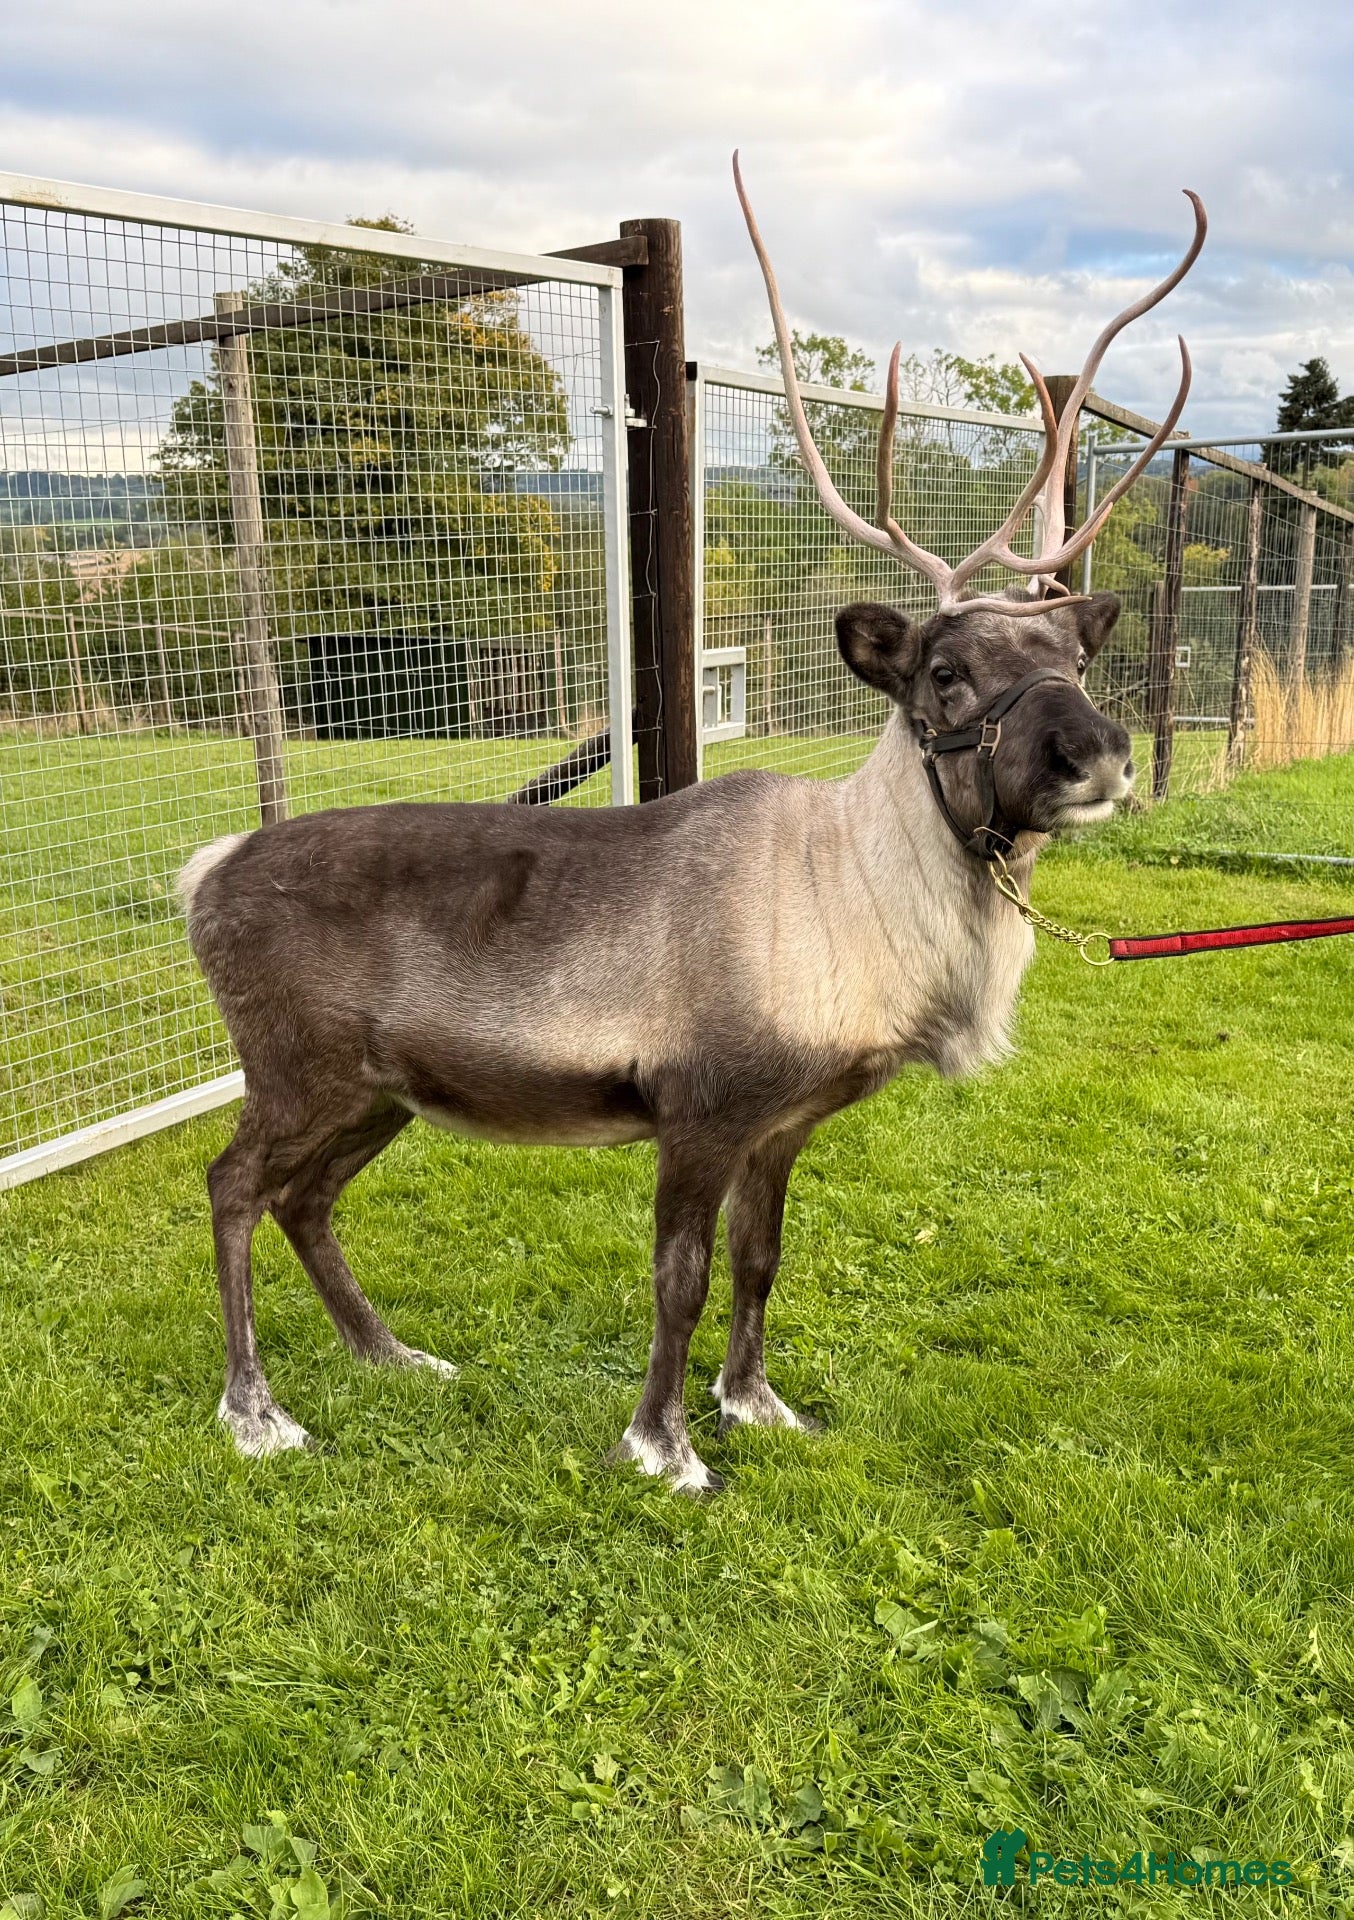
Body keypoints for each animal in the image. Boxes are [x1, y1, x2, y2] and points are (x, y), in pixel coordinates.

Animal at [179, 160, 1206, 1491]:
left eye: (1070, 657)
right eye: (942, 672)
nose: (1098, 756)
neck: (856, 909)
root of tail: (204, 873)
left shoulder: (786, 1122)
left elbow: (761, 1262)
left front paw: (756, 1404)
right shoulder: (700, 1107)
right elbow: (679, 1275)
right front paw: (661, 1444)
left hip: (377, 1091)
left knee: (305, 1202)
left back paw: (392, 1356)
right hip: (296, 1069)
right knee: (231, 1185)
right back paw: (256, 1409)